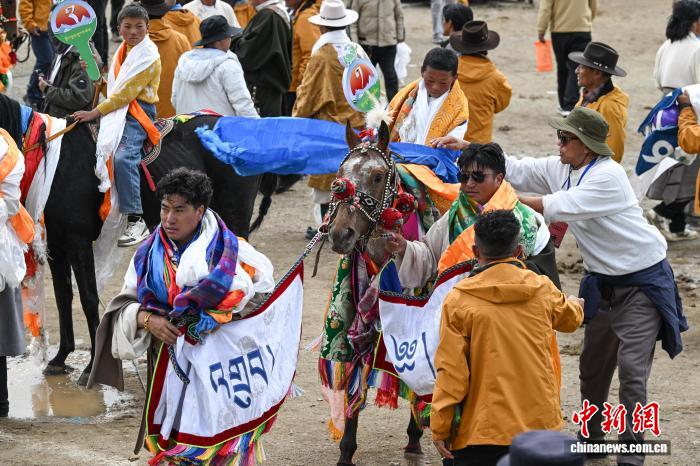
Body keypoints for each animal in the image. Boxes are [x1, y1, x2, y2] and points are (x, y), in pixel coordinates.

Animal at [0, 93, 269, 385]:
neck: (53, 160)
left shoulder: (77, 241)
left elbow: (88, 298)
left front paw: (90, 366)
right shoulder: (57, 245)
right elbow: (63, 298)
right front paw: (60, 357)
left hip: (235, 214)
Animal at [324, 121, 425, 466]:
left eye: (378, 176)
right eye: (340, 176)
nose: (340, 234)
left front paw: (414, 438)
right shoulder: (360, 316)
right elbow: (357, 375)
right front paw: (345, 451)